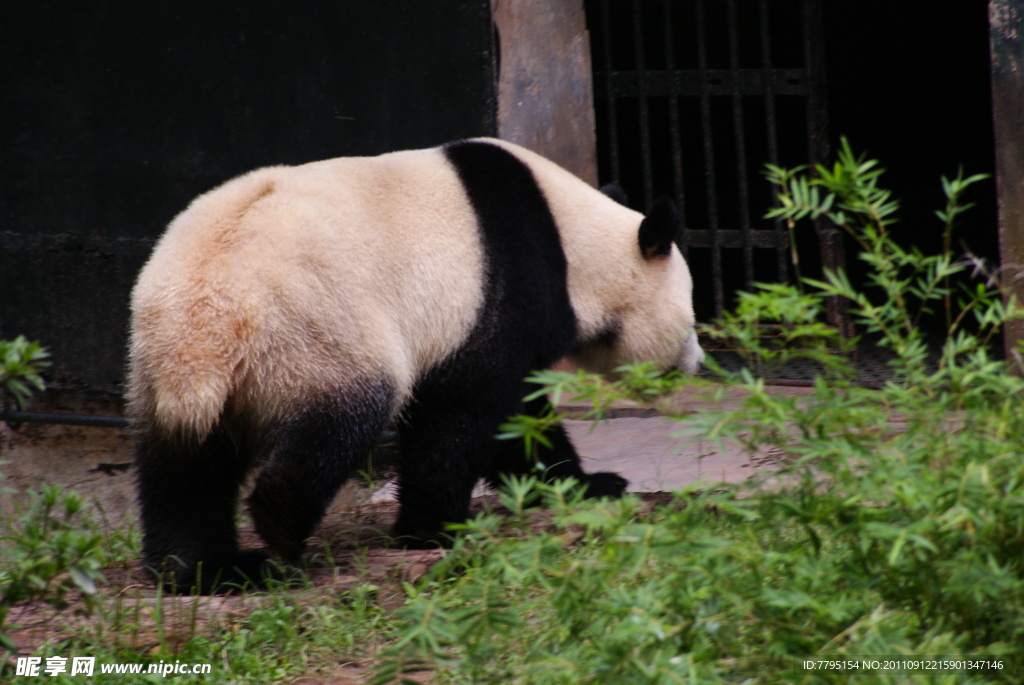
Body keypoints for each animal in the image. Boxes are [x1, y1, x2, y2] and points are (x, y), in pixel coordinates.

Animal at [128, 136, 704, 589]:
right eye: (692, 313)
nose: (696, 364)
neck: (574, 239)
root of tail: (210, 315)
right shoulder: (500, 289)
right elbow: (470, 409)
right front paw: (431, 529)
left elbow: (514, 421)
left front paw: (585, 483)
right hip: (313, 327)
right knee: (342, 419)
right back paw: (281, 528)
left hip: (159, 357)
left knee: (184, 466)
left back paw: (203, 569)